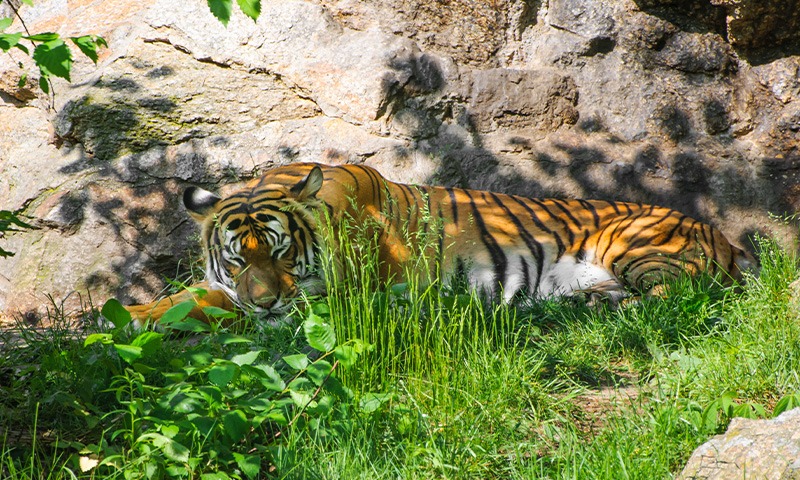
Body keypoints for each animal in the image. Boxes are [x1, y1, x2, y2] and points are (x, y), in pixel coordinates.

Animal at [125, 162, 755, 323]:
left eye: (281, 253)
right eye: (236, 261)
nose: (266, 303)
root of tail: (720, 231)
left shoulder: (342, 295)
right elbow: (184, 299)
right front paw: (126, 317)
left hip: (635, 245)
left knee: (690, 296)